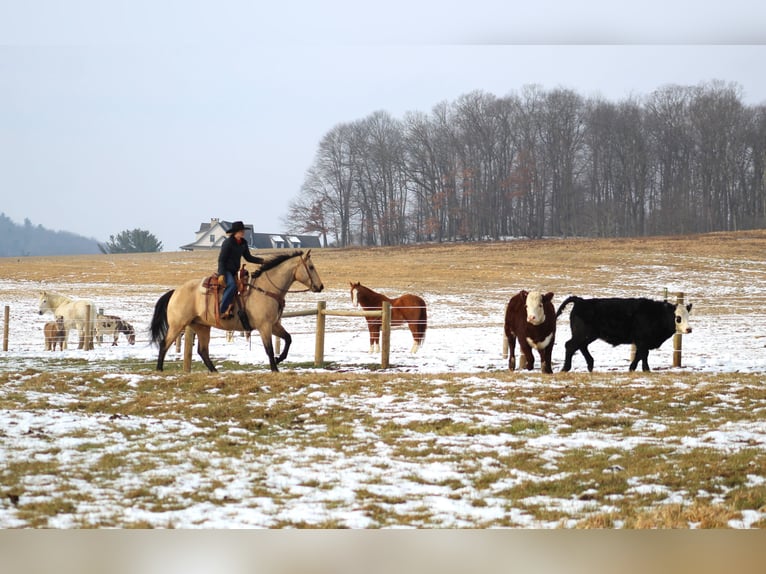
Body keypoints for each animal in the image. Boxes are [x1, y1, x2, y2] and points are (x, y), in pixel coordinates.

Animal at [150, 252, 324, 374]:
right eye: (311, 267)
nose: (320, 286)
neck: (266, 290)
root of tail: (175, 291)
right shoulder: (264, 327)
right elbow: (269, 349)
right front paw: (275, 368)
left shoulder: (274, 325)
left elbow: (288, 339)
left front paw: (279, 358)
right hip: (177, 325)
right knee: (164, 344)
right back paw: (159, 369)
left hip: (202, 326)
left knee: (203, 351)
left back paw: (215, 371)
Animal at [556, 296, 692, 374]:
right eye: (678, 318)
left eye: (688, 316)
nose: (689, 329)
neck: (656, 314)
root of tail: (580, 300)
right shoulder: (642, 341)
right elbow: (644, 354)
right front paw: (646, 369)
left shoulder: (641, 342)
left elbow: (639, 355)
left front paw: (632, 368)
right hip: (583, 335)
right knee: (570, 345)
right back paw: (565, 368)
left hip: (587, 336)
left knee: (581, 347)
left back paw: (590, 365)